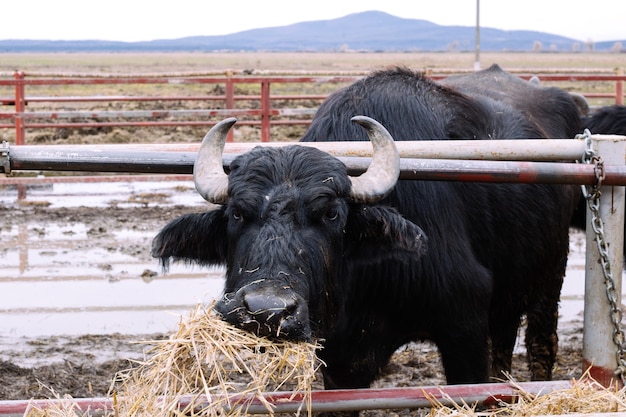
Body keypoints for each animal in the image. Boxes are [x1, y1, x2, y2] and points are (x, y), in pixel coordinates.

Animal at [151, 64, 580, 396]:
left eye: (331, 215)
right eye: (237, 214)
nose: (267, 311)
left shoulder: (465, 327)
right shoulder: (339, 357)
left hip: (550, 277)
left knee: (541, 344)